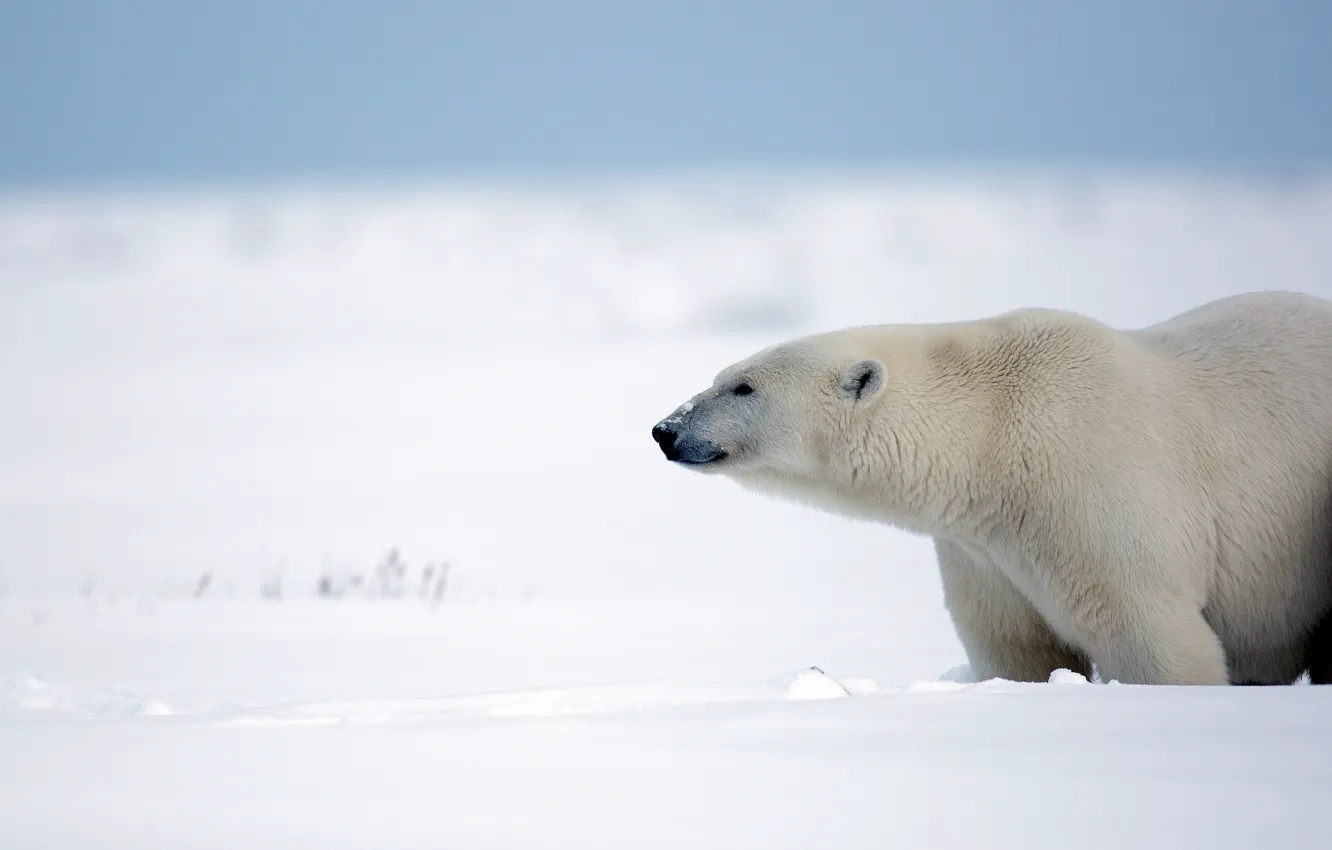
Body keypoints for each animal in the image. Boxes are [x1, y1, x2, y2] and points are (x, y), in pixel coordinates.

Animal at [651, 291, 1332, 686]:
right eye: (722, 375)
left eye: (744, 386)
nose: (666, 429)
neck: (992, 431)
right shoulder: (985, 550)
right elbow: (1017, 648)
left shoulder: (1099, 489)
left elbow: (1152, 634)